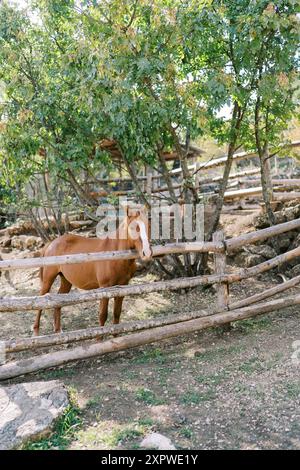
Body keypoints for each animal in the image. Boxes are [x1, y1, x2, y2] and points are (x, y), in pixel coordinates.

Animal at [33, 207, 152, 336]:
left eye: (148, 225)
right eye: (132, 228)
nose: (147, 253)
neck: (115, 255)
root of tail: (51, 244)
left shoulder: (122, 287)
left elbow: (116, 314)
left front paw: (116, 338)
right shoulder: (105, 288)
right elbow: (103, 315)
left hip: (66, 280)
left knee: (59, 301)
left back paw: (59, 331)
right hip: (48, 279)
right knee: (40, 301)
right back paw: (36, 332)